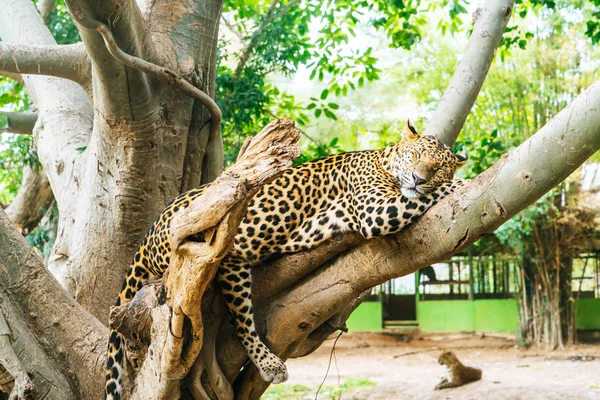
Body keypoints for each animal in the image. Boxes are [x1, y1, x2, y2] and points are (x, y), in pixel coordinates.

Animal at [104, 120, 468, 398]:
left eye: (437, 167)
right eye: (417, 155)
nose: (420, 179)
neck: (384, 160)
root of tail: (147, 235)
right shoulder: (374, 210)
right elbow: (426, 196)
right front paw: (460, 184)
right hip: (221, 254)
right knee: (241, 319)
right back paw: (269, 363)